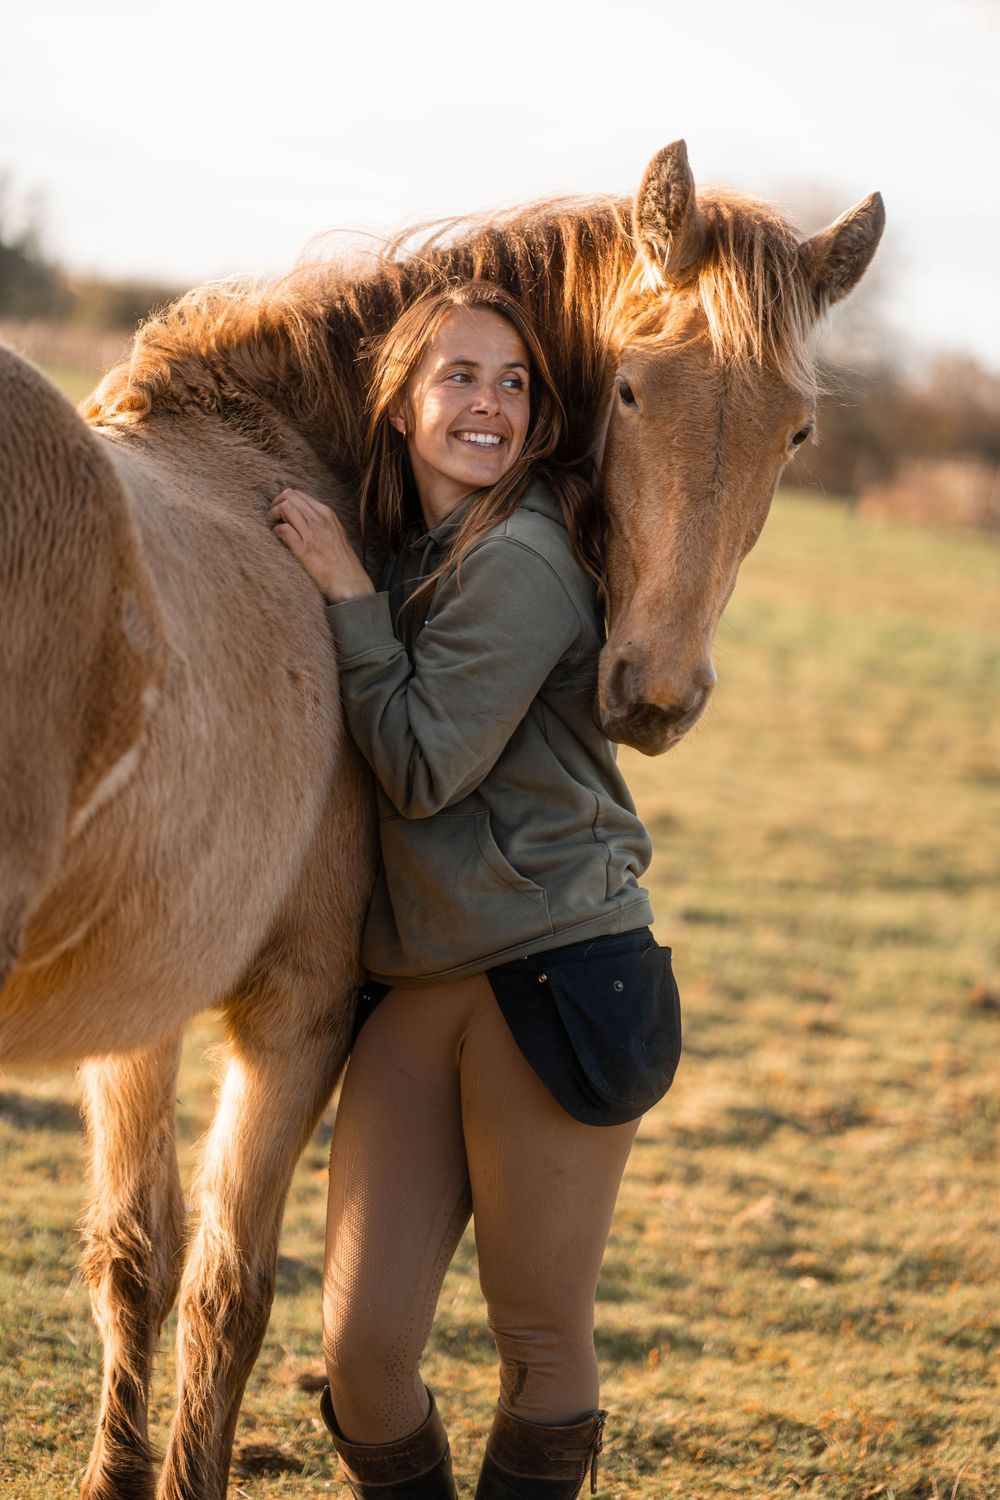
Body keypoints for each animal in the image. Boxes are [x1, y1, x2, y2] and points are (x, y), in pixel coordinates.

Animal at [0, 140, 883, 1499]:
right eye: (632, 390)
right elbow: (221, 1293)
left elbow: (141, 1263)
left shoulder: (139, 1007)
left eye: (796, 429)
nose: (657, 692)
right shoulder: (297, 1015)